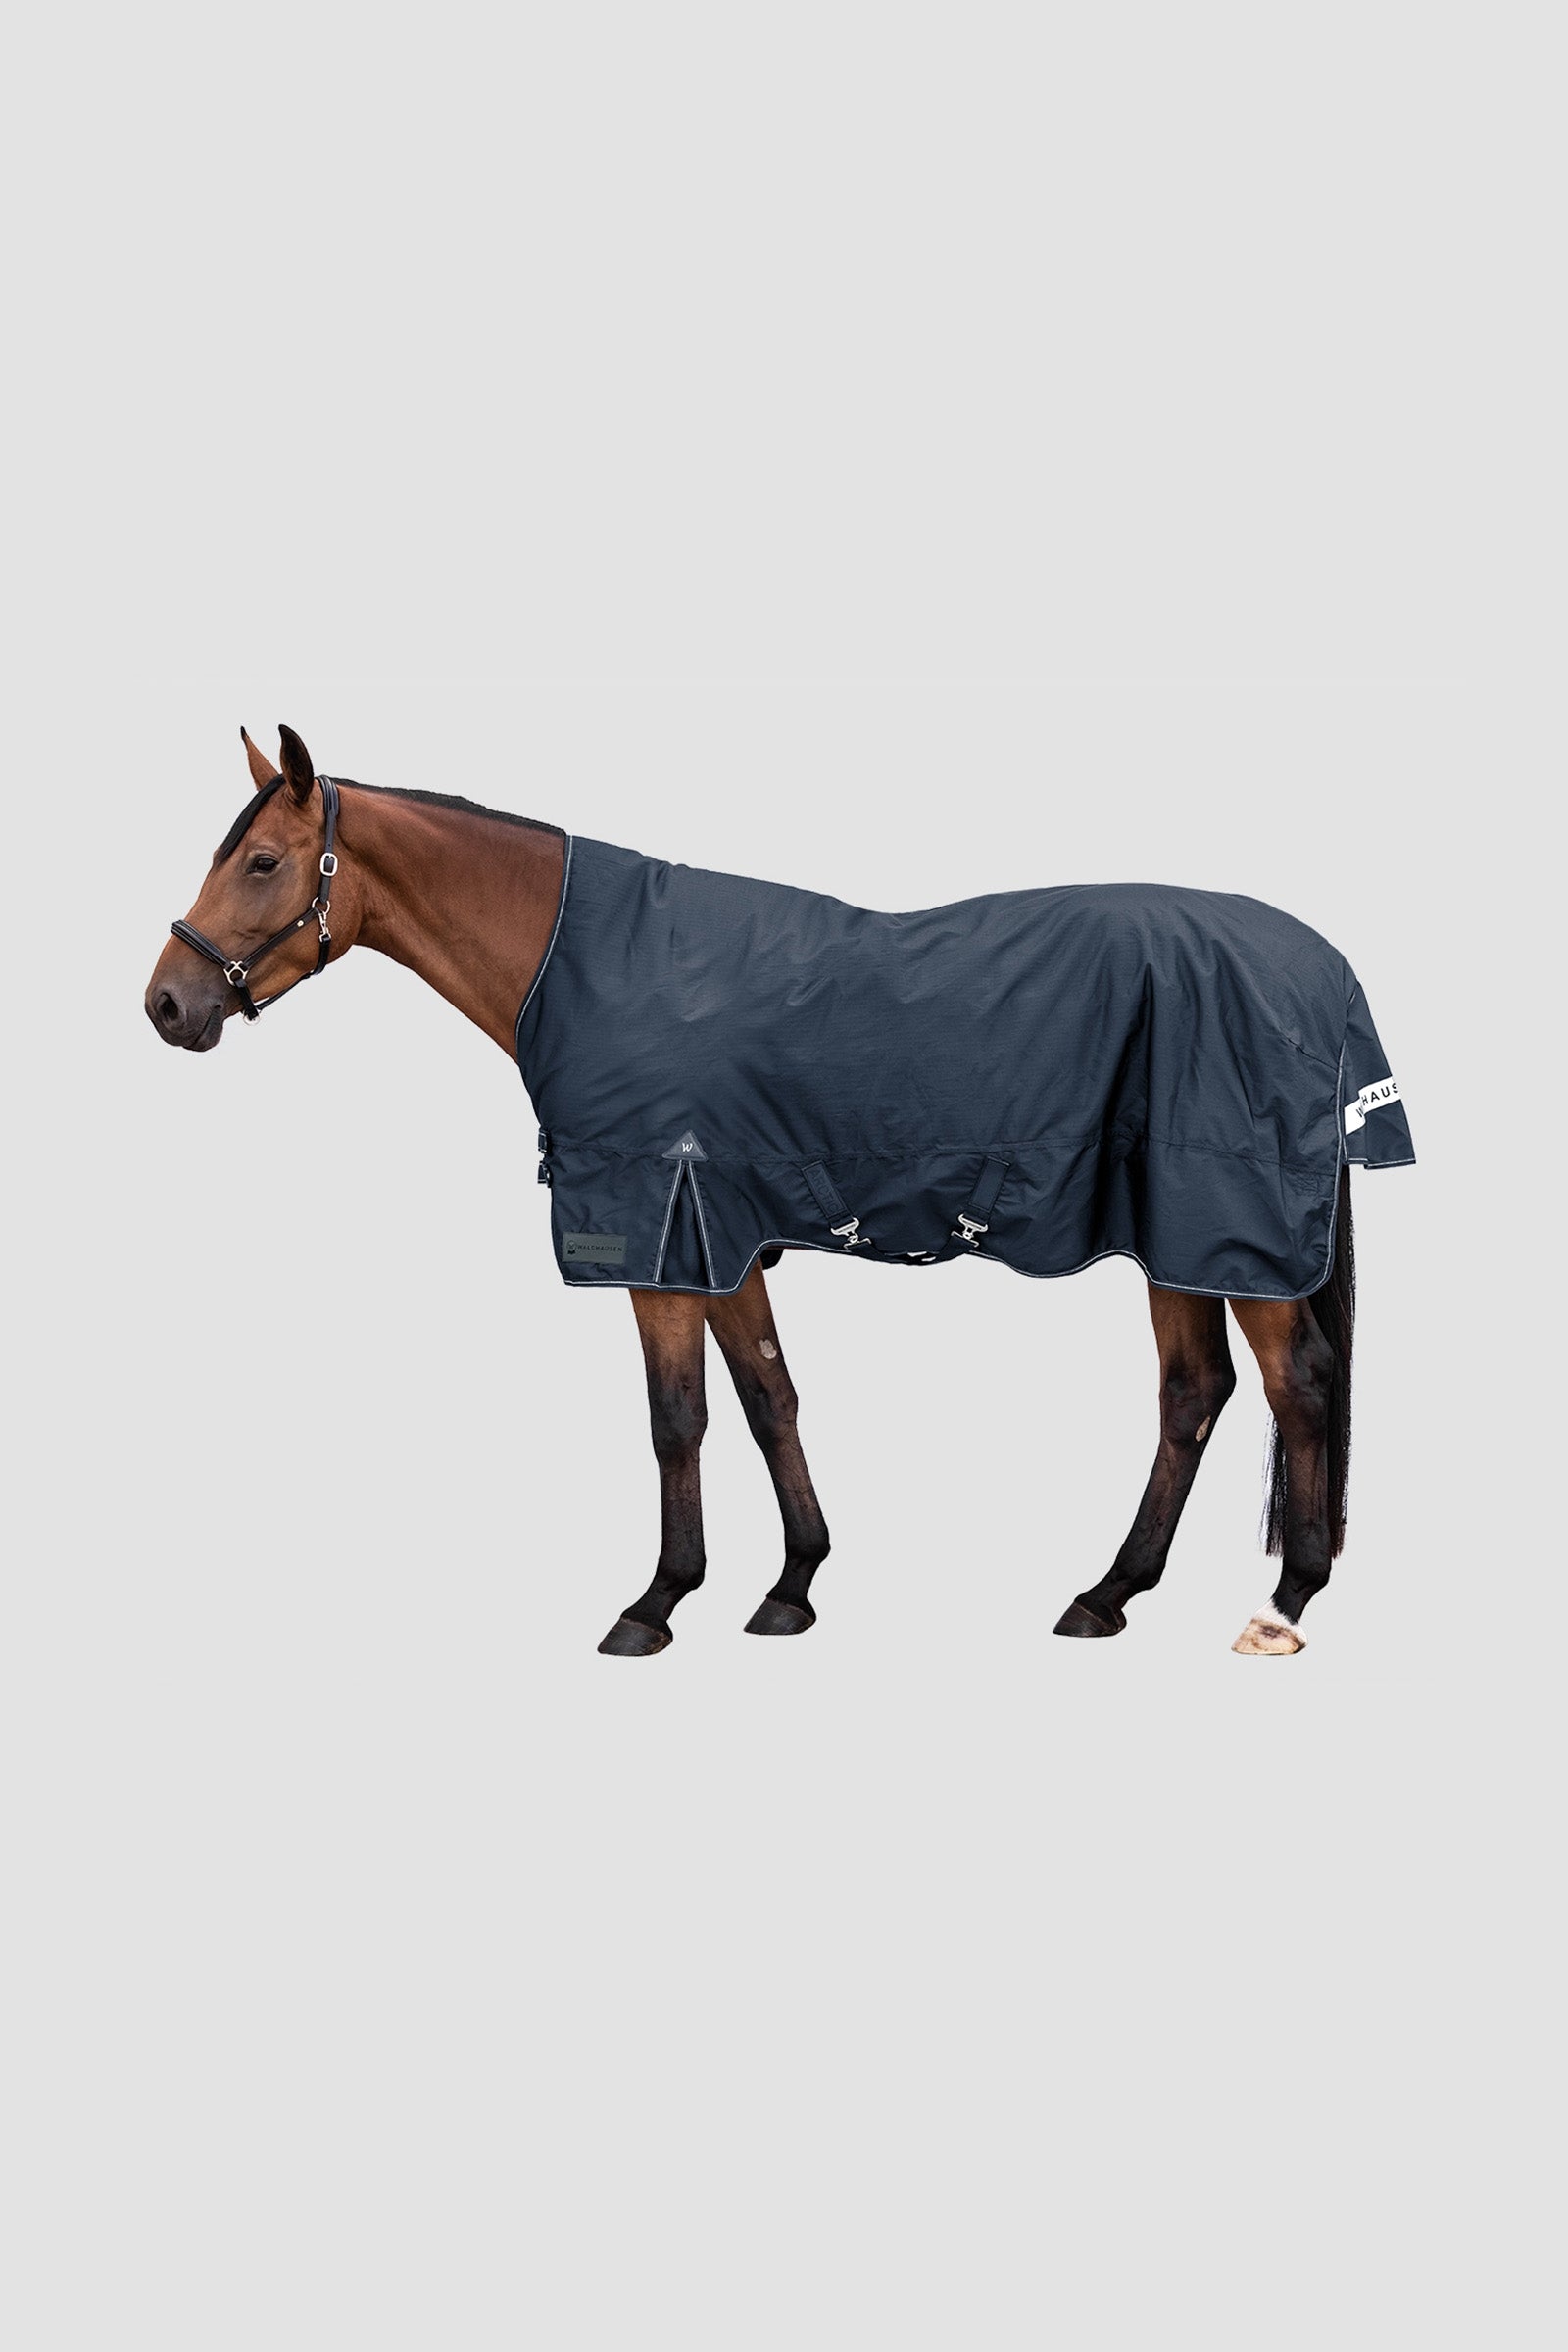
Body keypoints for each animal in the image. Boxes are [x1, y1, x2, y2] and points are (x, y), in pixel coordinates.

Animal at [145, 724, 1412, 1659]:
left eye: (261, 862)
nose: (166, 1004)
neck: (586, 962)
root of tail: (1317, 967)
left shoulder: (658, 1239)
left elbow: (677, 1419)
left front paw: (656, 1602)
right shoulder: (726, 1239)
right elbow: (768, 1398)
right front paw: (793, 1584)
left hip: (1228, 1227)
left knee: (1296, 1385)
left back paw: (1281, 1604)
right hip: (1179, 1236)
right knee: (1193, 1394)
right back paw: (1107, 1594)